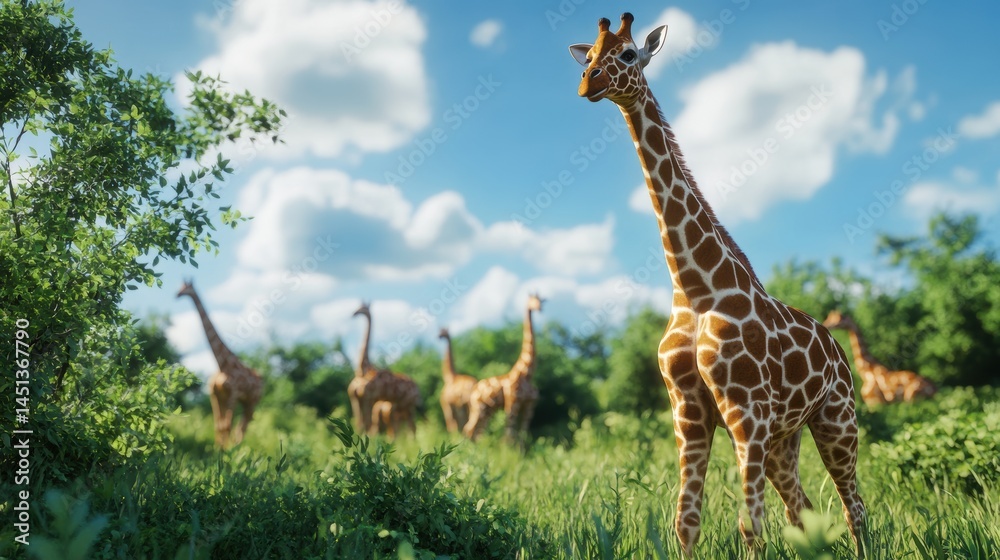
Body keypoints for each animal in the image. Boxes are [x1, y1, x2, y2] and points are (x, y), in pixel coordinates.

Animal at [177, 280, 263, 448]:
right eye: (179, 287)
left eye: (187, 288)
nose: (176, 295)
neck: (222, 365)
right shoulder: (215, 395)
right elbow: (219, 425)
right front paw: (217, 449)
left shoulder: (233, 395)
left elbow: (226, 425)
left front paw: (226, 451)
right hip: (244, 402)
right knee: (241, 425)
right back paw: (236, 446)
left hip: (253, 401)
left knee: (244, 424)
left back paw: (238, 448)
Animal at [349, 301, 422, 436]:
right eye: (359, 307)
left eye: (363, 309)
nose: (354, 313)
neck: (364, 369)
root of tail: (417, 389)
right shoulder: (357, 399)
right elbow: (361, 424)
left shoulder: (368, 398)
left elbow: (367, 424)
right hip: (401, 407)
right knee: (404, 427)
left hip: (407, 405)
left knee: (409, 427)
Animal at [463, 294, 542, 446]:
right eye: (532, 301)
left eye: (542, 300)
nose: (539, 308)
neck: (527, 375)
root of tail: (474, 390)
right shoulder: (512, 403)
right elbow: (509, 434)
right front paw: (507, 452)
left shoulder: (529, 405)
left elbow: (523, 433)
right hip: (479, 409)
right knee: (469, 429)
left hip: (488, 410)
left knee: (479, 431)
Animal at [570, 14, 866, 555]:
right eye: (591, 56)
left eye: (628, 55)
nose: (589, 83)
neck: (693, 288)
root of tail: (838, 350)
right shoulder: (689, 411)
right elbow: (686, 522)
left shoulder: (747, 411)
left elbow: (750, 526)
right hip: (784, 438)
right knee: (803, 510)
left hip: (836, 416)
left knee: (854, 507)